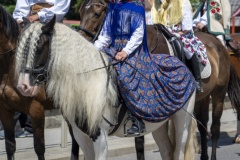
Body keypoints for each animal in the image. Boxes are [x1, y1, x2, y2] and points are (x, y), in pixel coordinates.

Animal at [14, 16, 195, 159]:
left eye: (39, 47)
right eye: (21, 48)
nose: (24, 86)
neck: (87, 82)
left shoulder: (100, 138)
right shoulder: (81, 137)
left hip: (182, 123)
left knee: (178, 151)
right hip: (158, 126)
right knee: (167, 151)